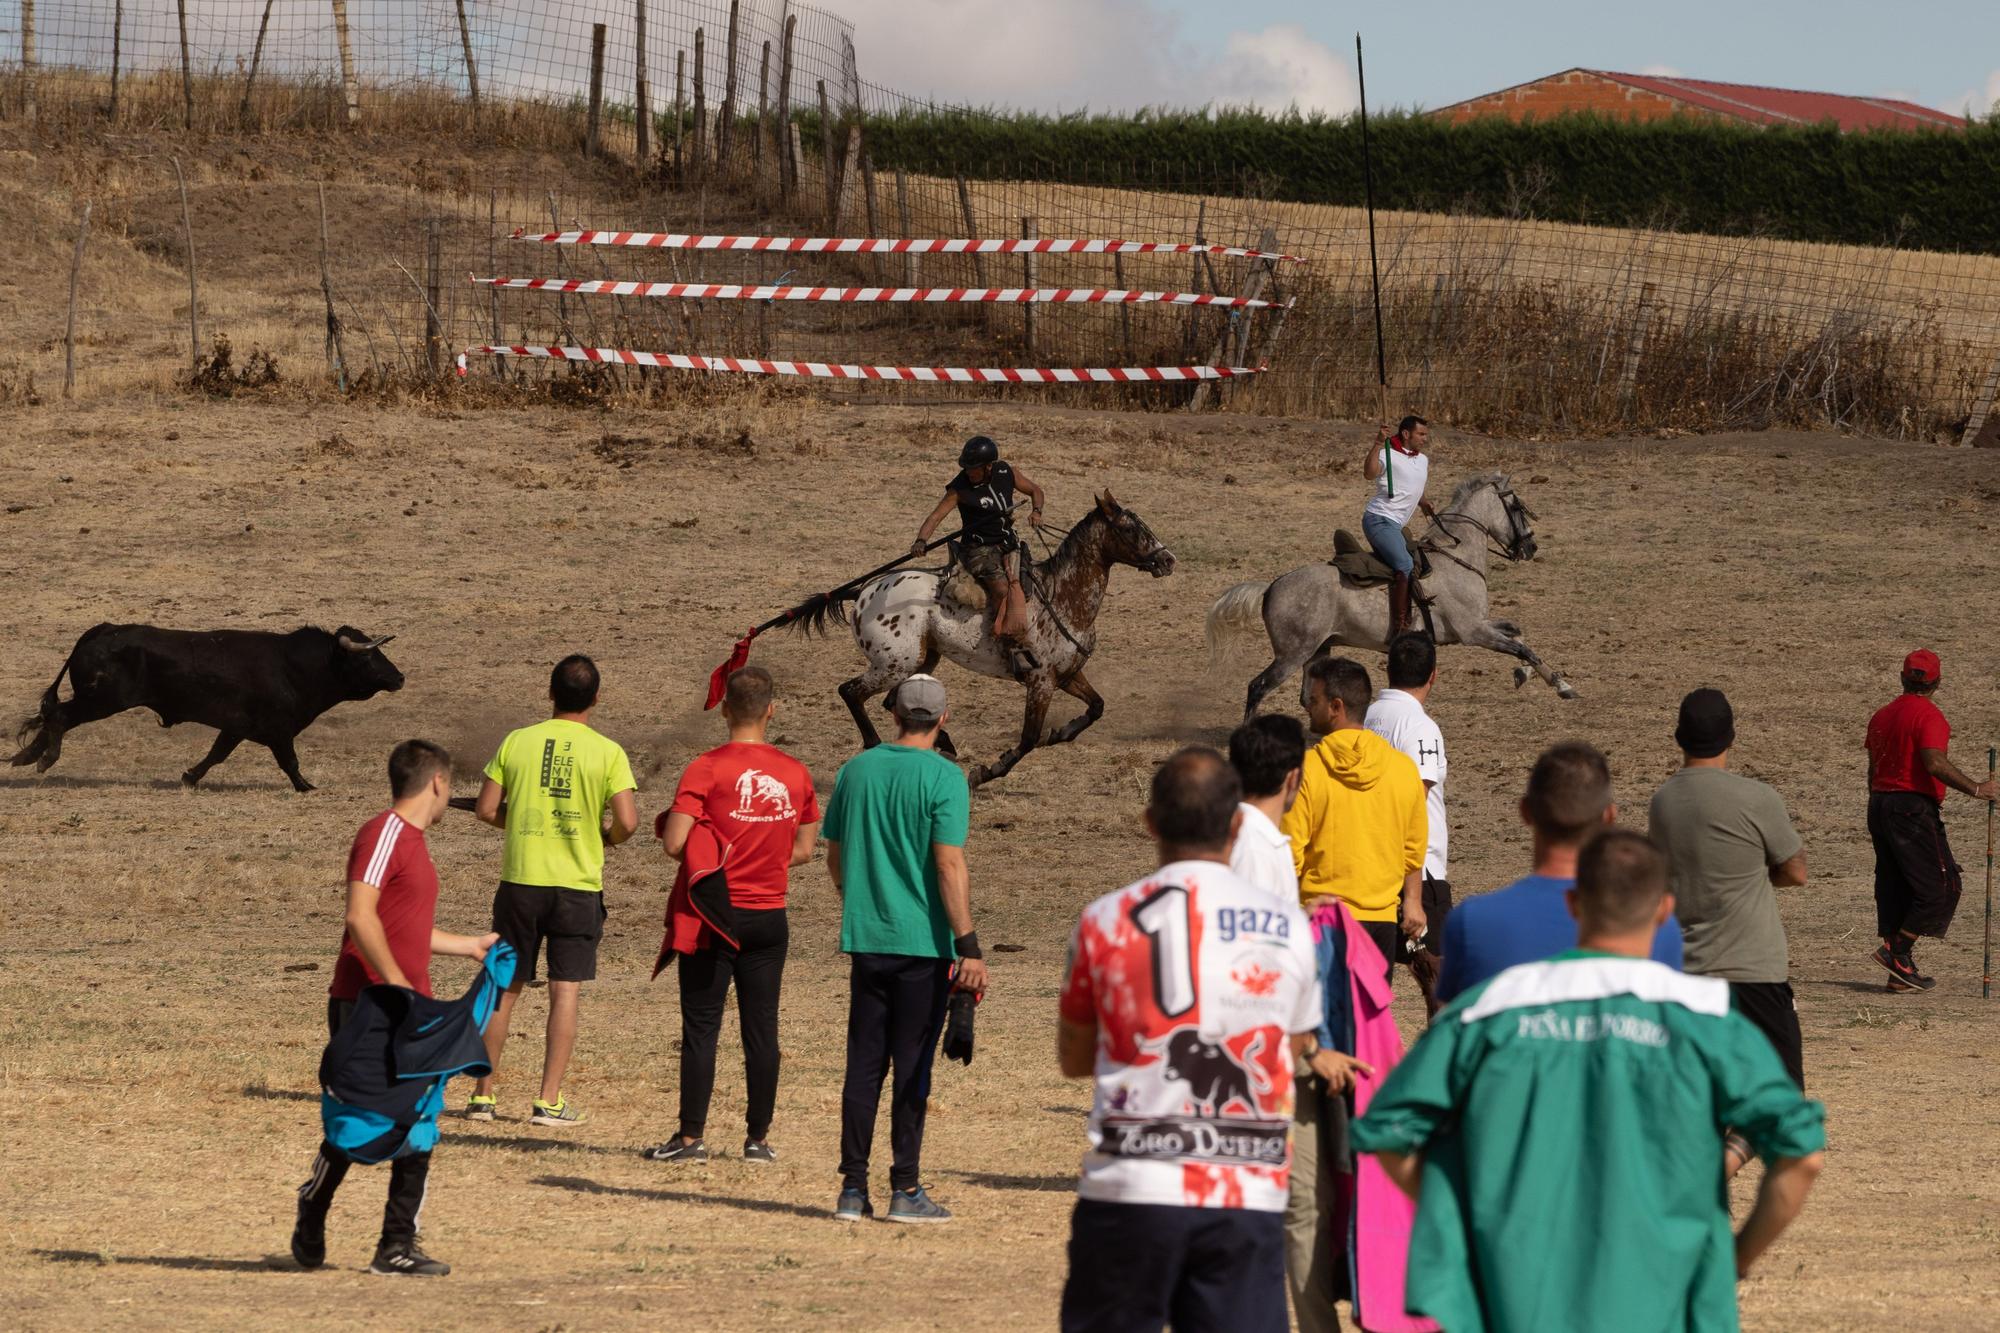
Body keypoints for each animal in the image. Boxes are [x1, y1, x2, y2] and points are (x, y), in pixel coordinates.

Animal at [7, 624, 406, 788]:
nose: (400, 678)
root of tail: (103, 630)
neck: (294, 665)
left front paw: (189, 777)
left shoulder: (236, 727)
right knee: (60, 716)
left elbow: (216, 754)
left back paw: (24, 757)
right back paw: (44, 759)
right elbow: (290, 761)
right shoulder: (279, 729)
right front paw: (306, 785)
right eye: (368, 658)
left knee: (51, 716)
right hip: (102, 701)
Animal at [788, 486, 1176, 780]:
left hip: (921, 659)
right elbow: (1029, 738)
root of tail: (865, 591)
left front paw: (1062, 732)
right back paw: (877, 744)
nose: (1168, 560)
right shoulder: (1041, 682)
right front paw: (987, 771)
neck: (1063, 595)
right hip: (892, 664)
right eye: (1130, 529)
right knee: (850, 692)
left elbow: (1096, 706)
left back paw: (944, 744)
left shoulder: (1067, 675)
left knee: (891, 700)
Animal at [1200, 466, 1576, 716]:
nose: (1531, 547)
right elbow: (1521, 648)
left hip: (1318, 650)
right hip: (1292, 654)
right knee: (1258, 687)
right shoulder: (1473, 632)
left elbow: (1518, 633)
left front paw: (1525, 675)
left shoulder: (1480, 625)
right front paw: (1562, 685)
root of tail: (1272, 587)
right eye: (1517, 507)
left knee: (1307, 697)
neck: (1456, 557)